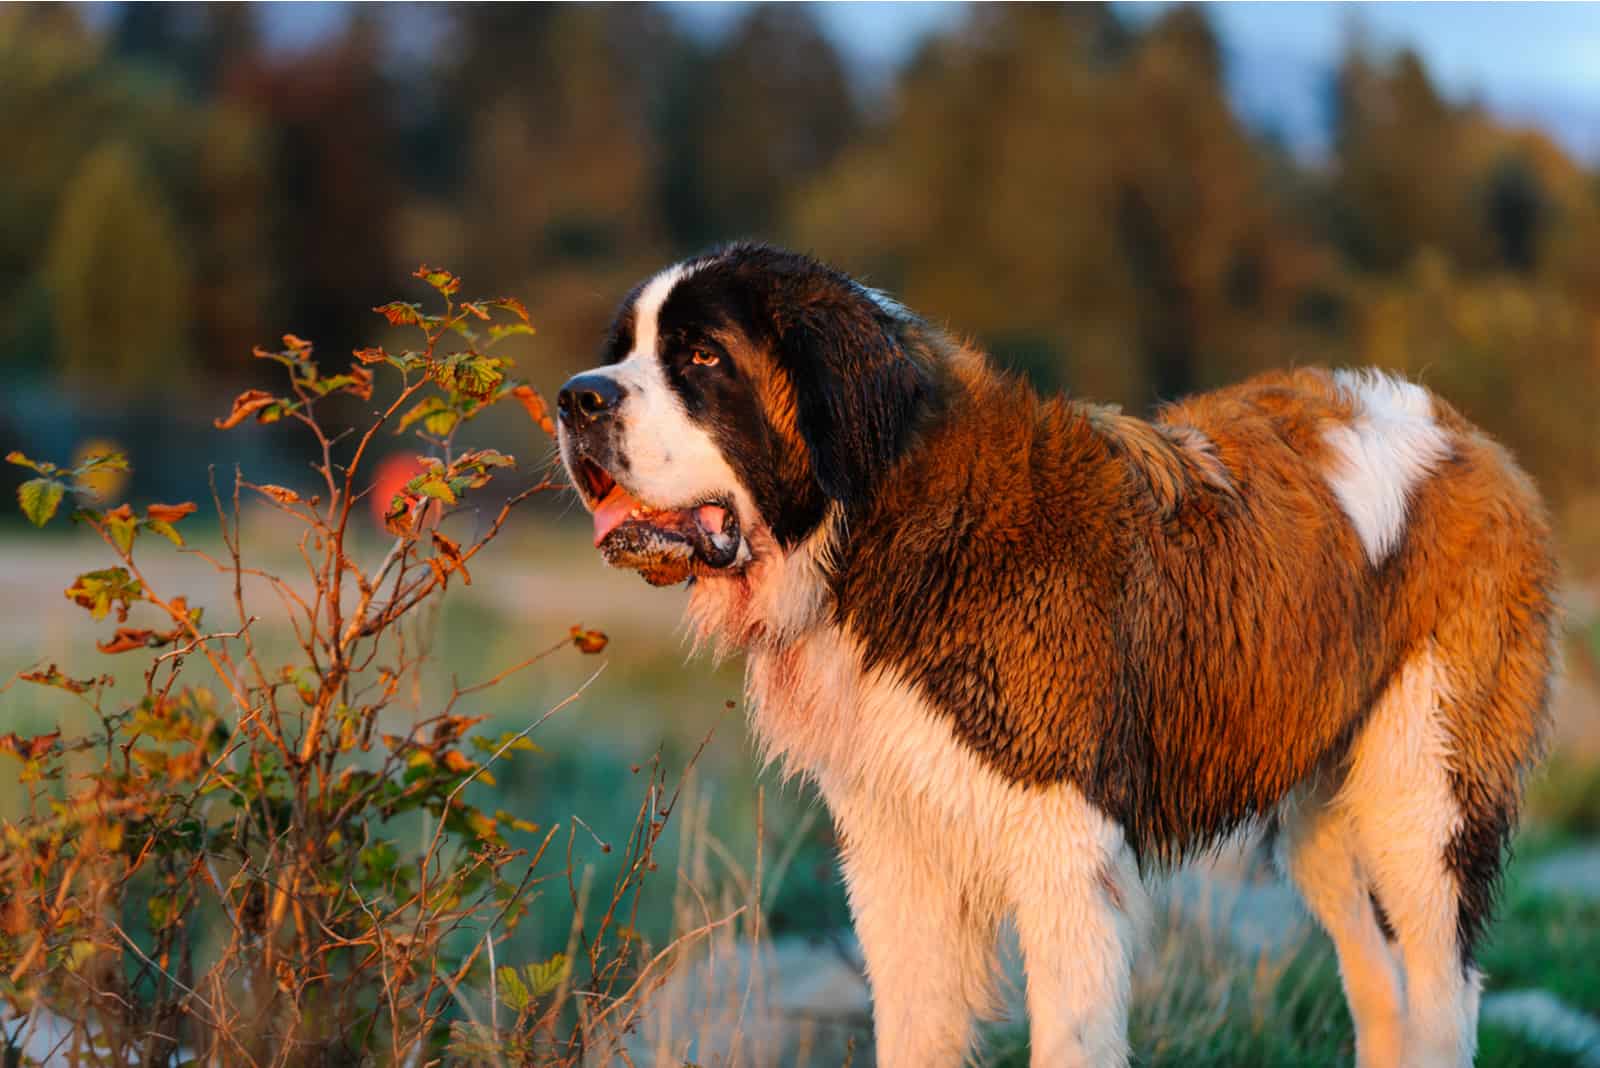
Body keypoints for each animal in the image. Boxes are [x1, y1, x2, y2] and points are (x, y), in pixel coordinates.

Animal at [556, 246, 1555, 1061]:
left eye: (701, 357)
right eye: (625, 346)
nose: (576, 397)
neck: (882, 523)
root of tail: (1461, 430)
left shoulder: (1065, 855)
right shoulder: (897, 853)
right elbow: (912, 1029)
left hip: (1423, 792)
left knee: (1442, 988)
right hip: (1321, 815)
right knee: (1376, 978)